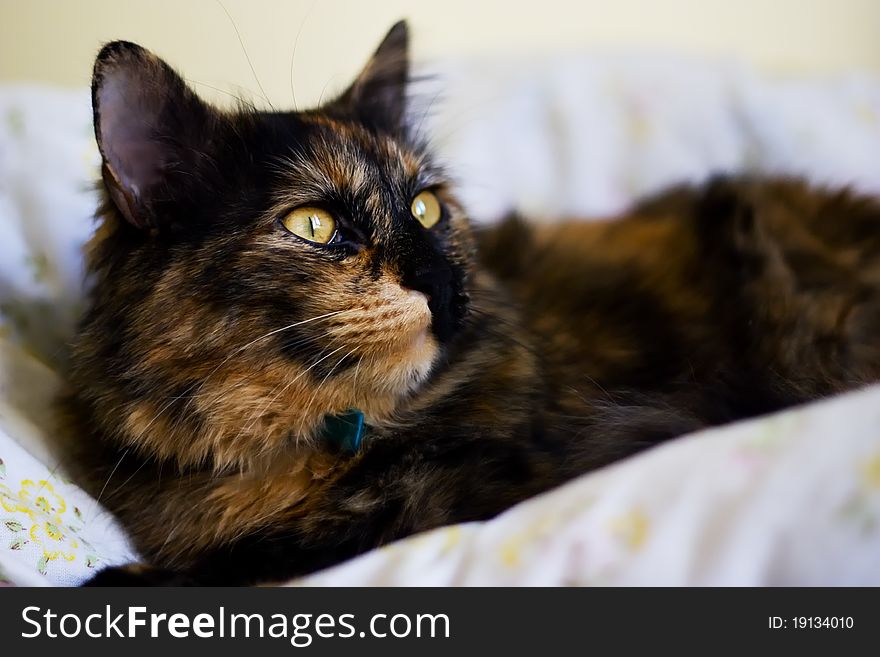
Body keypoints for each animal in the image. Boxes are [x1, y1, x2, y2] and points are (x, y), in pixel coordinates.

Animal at [56, 21, 880, 584]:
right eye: (313, 226)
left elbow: (296, 542)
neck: (303, 439)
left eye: (425, 208)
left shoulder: (482, 483)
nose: (444, 283)